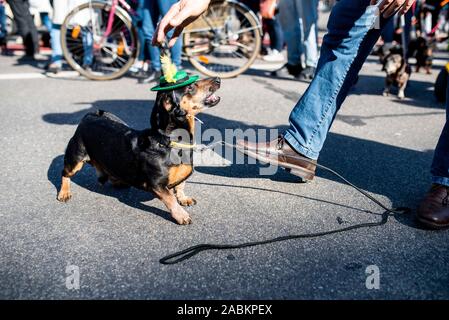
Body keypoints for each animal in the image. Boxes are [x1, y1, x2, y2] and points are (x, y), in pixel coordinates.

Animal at [57, 77, 221, 225]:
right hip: (75, 159)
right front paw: (181, 215)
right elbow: (170, 199)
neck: (169, 141)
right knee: (65, 173)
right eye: (191, 87)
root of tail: (90, 114)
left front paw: (183, 198)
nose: (218, 79)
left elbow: (180, 186)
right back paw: (64, 192)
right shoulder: (157, 184)